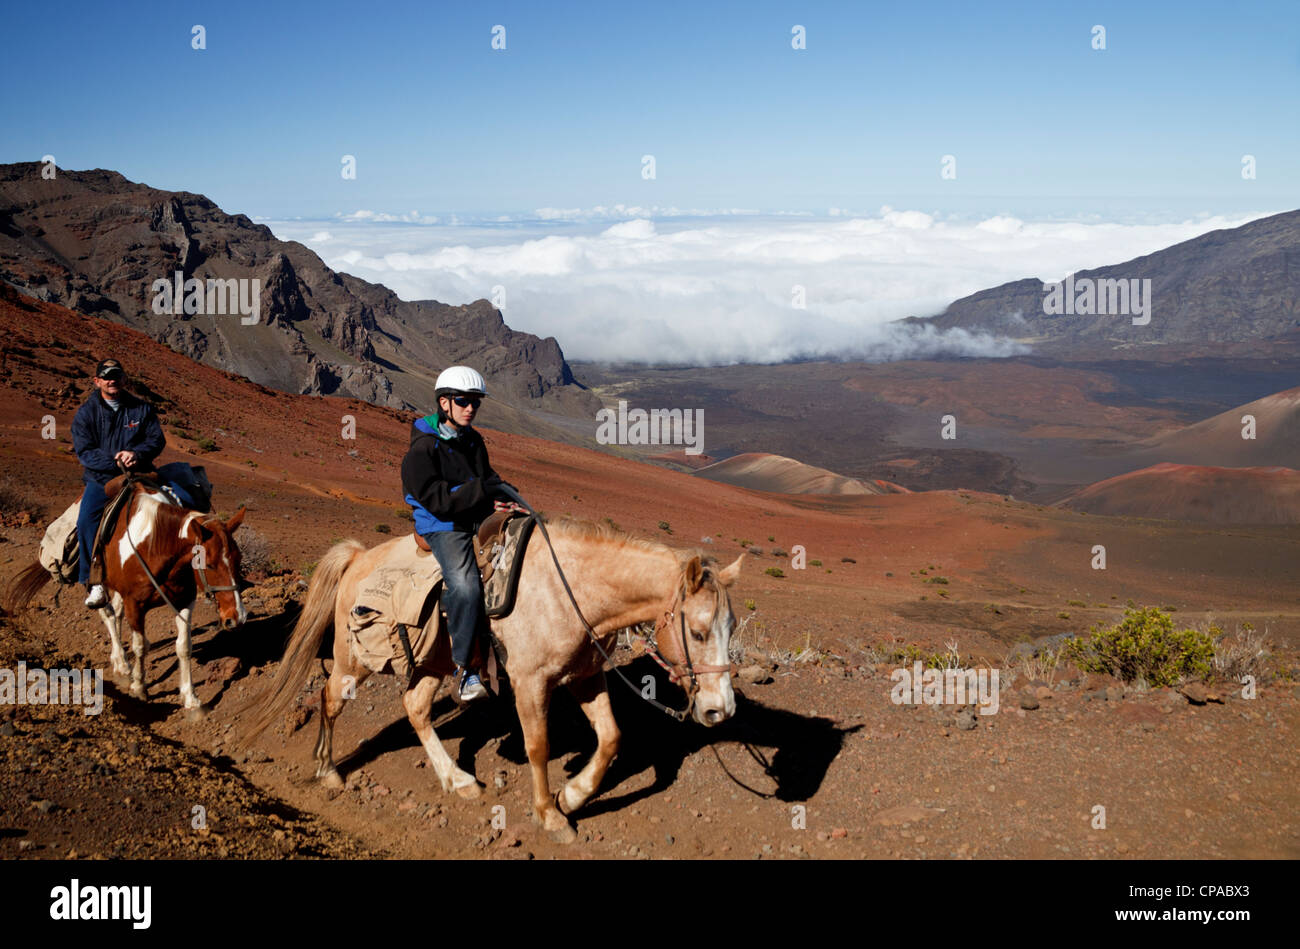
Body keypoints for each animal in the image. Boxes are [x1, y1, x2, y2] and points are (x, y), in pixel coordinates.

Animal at [3, 475, 246, 712]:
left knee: (116, 614)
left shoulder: (184, 601)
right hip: (97, 584)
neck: (157, 544)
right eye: (210, 564)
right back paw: (121, 664)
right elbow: (140, 645)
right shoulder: (135, 605)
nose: (236, 617)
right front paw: (139, 687)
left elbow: (184, 647)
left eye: (239, 559)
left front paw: (191, 698)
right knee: (108, 615)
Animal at [241, 517, 743, 842]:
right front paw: (549, 815)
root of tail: (359, 556)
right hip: (354, 659)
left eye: (731, 627)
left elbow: (612, 737)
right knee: (330, 699)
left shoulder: (585, 677)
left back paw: (459, 780)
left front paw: (573, 796)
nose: (720, 710)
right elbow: (537, 746)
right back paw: (328, 770)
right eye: (699, 632)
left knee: (415, 708)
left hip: (433, 663)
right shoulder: (530, 682)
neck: (570, 591)